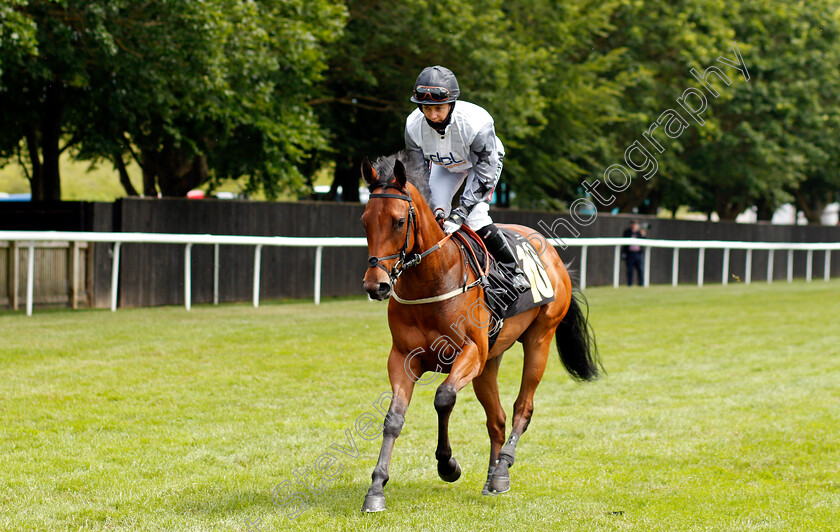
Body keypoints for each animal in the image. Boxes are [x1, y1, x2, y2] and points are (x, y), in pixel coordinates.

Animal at [358, 152, 600, 512]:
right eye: (365, 220)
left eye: (399, 221)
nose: (377, 285)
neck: (434, 280)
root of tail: (554, 256)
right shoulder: (402, 358)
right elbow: (393, 419)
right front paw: (376, 488)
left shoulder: (470, 351)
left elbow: (444, 397)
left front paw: (448, 465)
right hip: (490, 362)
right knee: (496, 420)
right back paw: (491, 479)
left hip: (539, 339)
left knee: (522, 409)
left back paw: (501, 471)